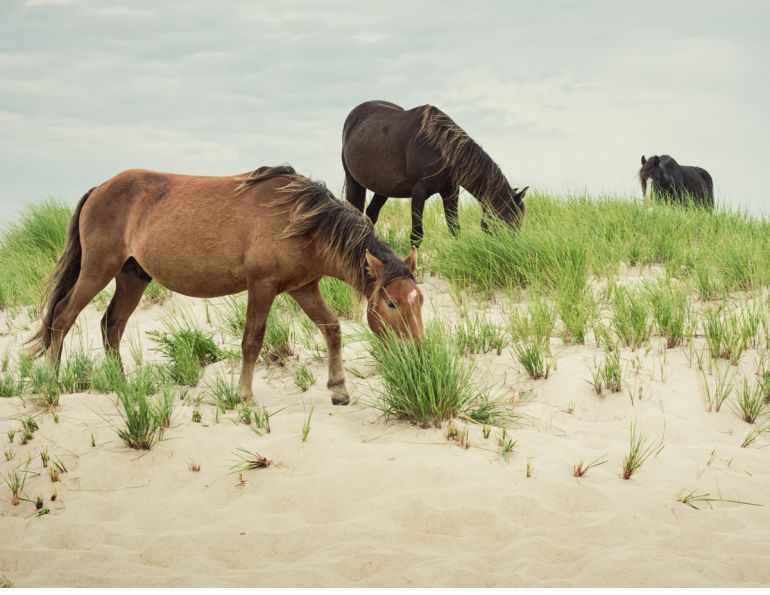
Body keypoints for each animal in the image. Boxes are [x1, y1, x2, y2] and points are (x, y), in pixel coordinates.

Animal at [28, 165, 425, 405]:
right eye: (391, 304)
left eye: (419, 301)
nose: (419, 352)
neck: (301, 220)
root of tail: (100, 188)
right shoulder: (262, 286)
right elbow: (252, 341)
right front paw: (245, 396)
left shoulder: (304, 287)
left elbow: (332, 329)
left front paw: (338, 389)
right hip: (98, 269)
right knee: (62, 317)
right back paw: (52, 384)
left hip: (132, 277)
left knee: (112, 325)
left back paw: (122, 386)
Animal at [342, 100, 528, 245]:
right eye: (506, 222)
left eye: (520, 222)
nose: (511, 250)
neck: (440, 147)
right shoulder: (419, 193)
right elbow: (416, 235)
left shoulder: (451, 192)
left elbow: (454, 229)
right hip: (354, 182)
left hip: (384, 188)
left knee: (371, 214)